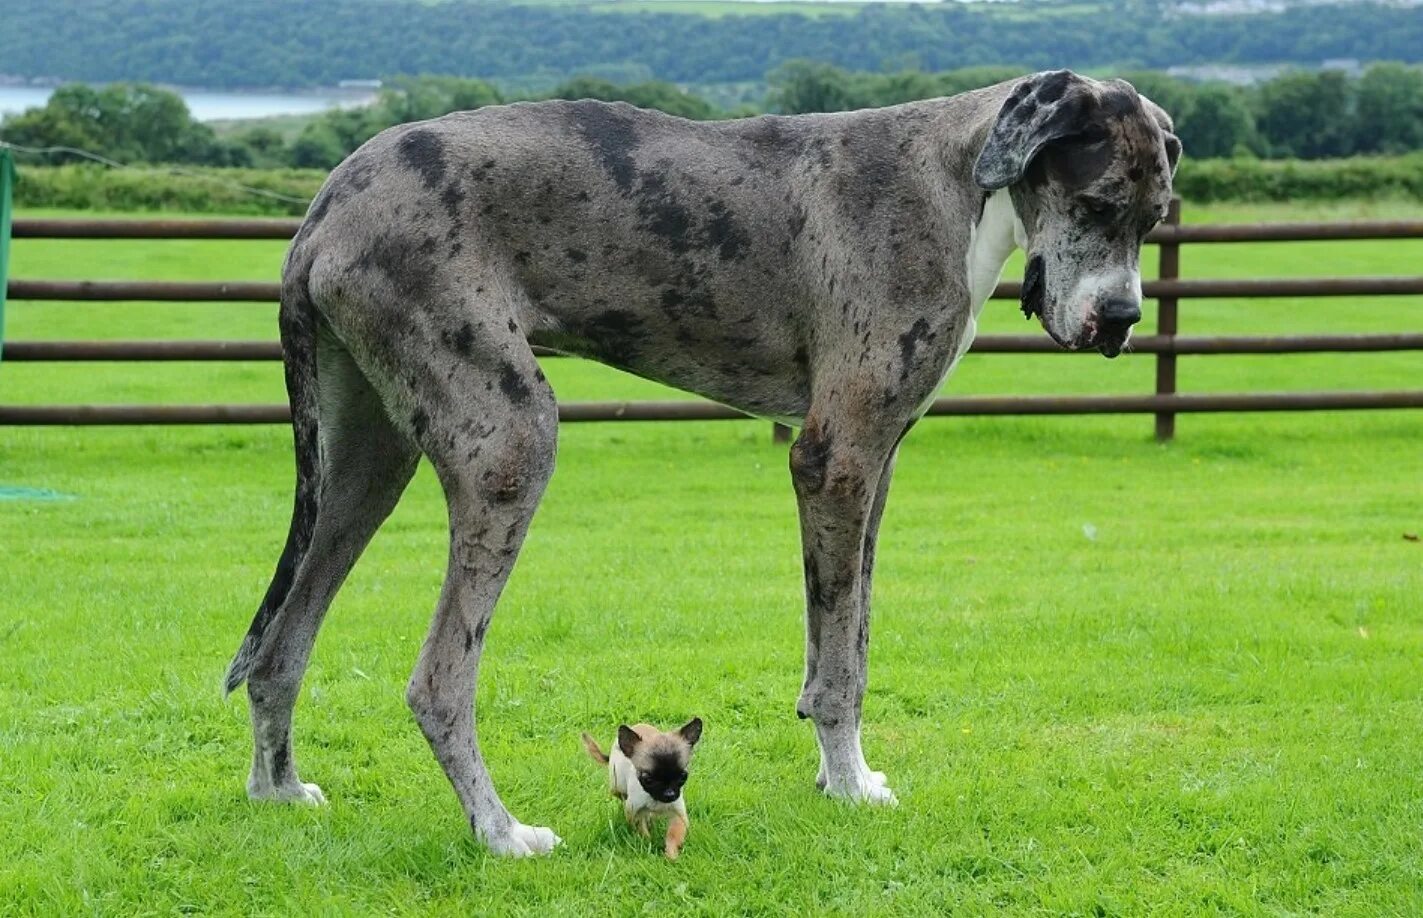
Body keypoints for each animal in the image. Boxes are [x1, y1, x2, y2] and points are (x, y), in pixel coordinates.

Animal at [580, 717, 702, 859]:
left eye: (683, 776)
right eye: (648, 779)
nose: (669, 794)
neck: (656, 800)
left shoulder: (678, 814)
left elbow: (673, 835)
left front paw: (671, 855)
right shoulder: (635, 812)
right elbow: (641, 830)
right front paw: (648, 843)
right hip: (616, 785)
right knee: (621, 795)